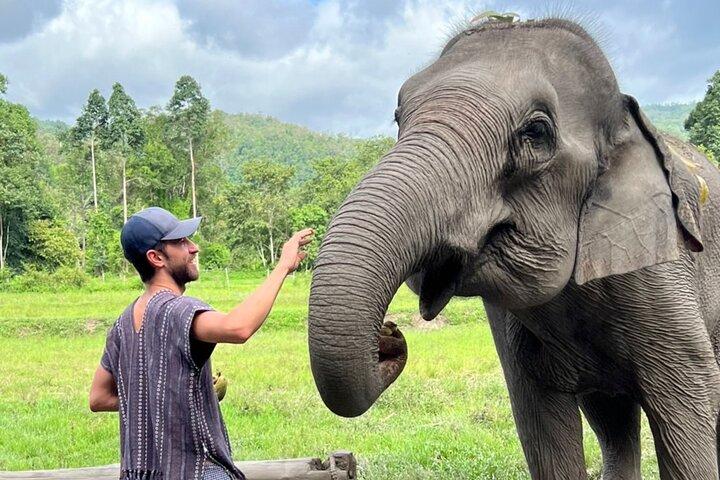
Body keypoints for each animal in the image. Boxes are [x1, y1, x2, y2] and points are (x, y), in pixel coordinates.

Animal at [307, 16, 720, 480]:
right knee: (611, 419)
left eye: (535, 132)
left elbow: (687, 407)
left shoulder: (661, 273)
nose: (390, 334)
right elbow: (543, 427)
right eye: (398, 116)